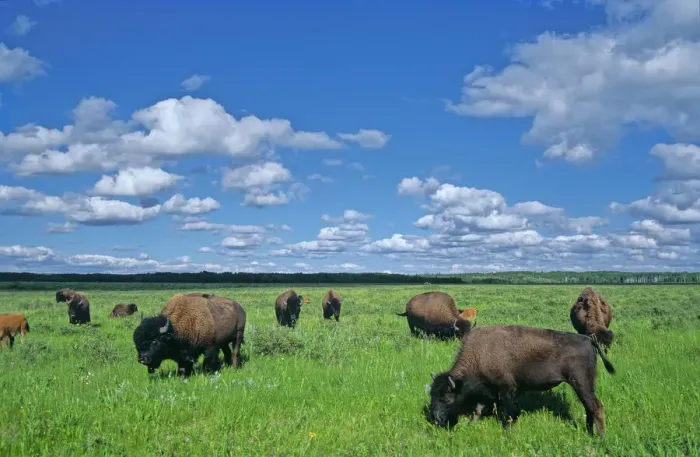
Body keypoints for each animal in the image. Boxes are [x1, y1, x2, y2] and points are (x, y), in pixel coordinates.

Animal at [427, 315, 616, 436]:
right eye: (432, 395)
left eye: (446, 398)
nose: (435, 419)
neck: (480, 353)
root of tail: (588, 340)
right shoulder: (489, 390)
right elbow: (479, 409)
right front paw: (471, 424)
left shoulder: (507, 388)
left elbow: (510, 413)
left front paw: (508, 433)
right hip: (585, 385)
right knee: (589, 407)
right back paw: (590, 433)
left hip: (580, 383)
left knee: (596, 407)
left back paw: (600, 436)